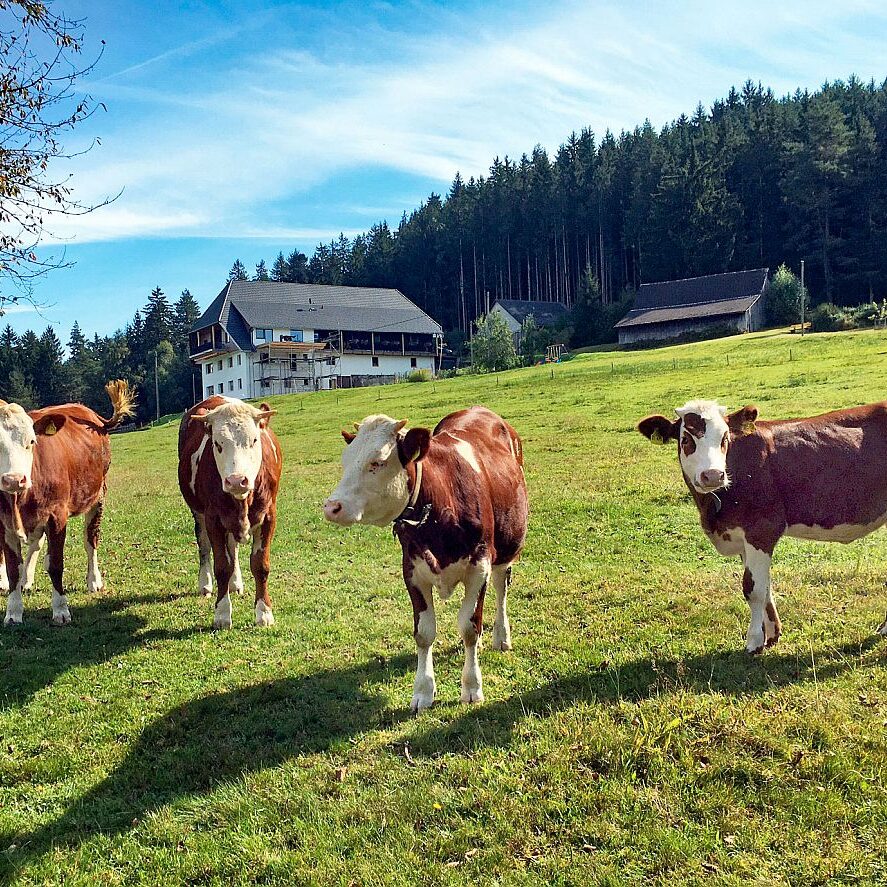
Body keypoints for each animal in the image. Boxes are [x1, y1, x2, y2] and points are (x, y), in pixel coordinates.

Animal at [1, 380, 136, 626]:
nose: (14, 479)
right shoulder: (5, 524)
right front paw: (13, 612)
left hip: (98, 496)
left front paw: (60, 609)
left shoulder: (57, 517)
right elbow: (13, 569)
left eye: (31, 441)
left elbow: (56, 564)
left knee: (90, 540)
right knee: (36, 543)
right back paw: (26, 580)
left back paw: (94, 580)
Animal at [177, 396, 281, 629]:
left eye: (254, 440)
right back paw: (205, 583)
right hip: (198, 513)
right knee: (204, 546)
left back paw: (235, 583)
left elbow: (260, 565)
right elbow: (222, 566)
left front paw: (264, 612)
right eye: (217, 444)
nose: (236, 480)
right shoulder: (213, 518)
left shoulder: (268, 516)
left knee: (232, 547)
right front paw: (222, 614)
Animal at [323, 406, 528, 713]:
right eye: (345, 461)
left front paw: (472, 686)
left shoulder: (479, 567)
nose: (331, 507)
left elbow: (470, 627)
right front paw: (422, 690)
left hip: (506, 547)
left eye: (378, 462)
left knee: (501, 587)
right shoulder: (412, 572)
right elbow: (424, 633)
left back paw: (501, 636)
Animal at [638, 399, 887, 653]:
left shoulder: (761, 529)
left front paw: (754, 641)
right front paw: (771, 634)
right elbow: (764, 586)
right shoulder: (743, 537)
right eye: (686, 439)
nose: (713, 475)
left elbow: (753, 589)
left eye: (725, 438)